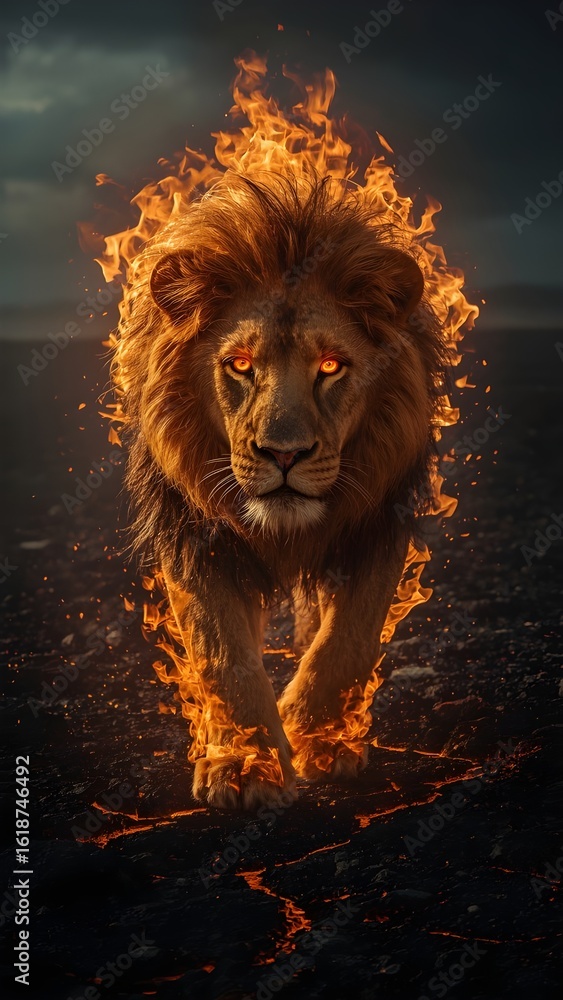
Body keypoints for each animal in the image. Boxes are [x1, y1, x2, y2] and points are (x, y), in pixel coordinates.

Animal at [114, 172, 446, 810]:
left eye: (332, 366)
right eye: (241, 365)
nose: (284, 454)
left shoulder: (377, 520)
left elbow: (348, 640)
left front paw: (316, 736)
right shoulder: (193, 533)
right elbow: (222, 654)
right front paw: (246, 764)